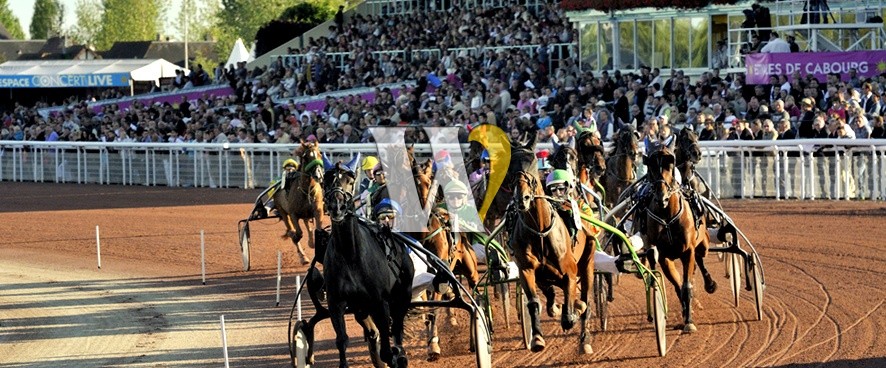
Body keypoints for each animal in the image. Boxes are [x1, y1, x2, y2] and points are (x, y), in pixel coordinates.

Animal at [322, 164, 416, 368]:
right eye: (326, 180)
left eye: (350, 181)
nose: (337, 206)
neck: (350, 254)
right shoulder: (336, 302)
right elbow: (342, 340)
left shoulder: (380, 302)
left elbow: (388, 350)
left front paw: (395, 357)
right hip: (361, 307)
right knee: (374, 332)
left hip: (403, 293)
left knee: (397, 326)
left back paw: (401, 354)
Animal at [510, 134, 592, 354]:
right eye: (511, 166)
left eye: (531, 163)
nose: (523, 198)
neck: (540, 230)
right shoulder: (527, 270)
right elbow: (534, 302)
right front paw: (537, 338)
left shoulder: (570, 271)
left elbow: (571, 313)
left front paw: (572, 311)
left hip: (588, 262)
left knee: (586, 298)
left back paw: (584, 339)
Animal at [644, 138, 720, 334]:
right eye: (651, 166)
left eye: (670, 165)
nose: (661, 197)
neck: (667, 216)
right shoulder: (663, 256)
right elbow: (679, 286)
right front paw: (686, 311)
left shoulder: (687, 251)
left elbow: (686, 286)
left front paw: (689, 322)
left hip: (703, 243)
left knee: (700, 258)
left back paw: (710, 284)